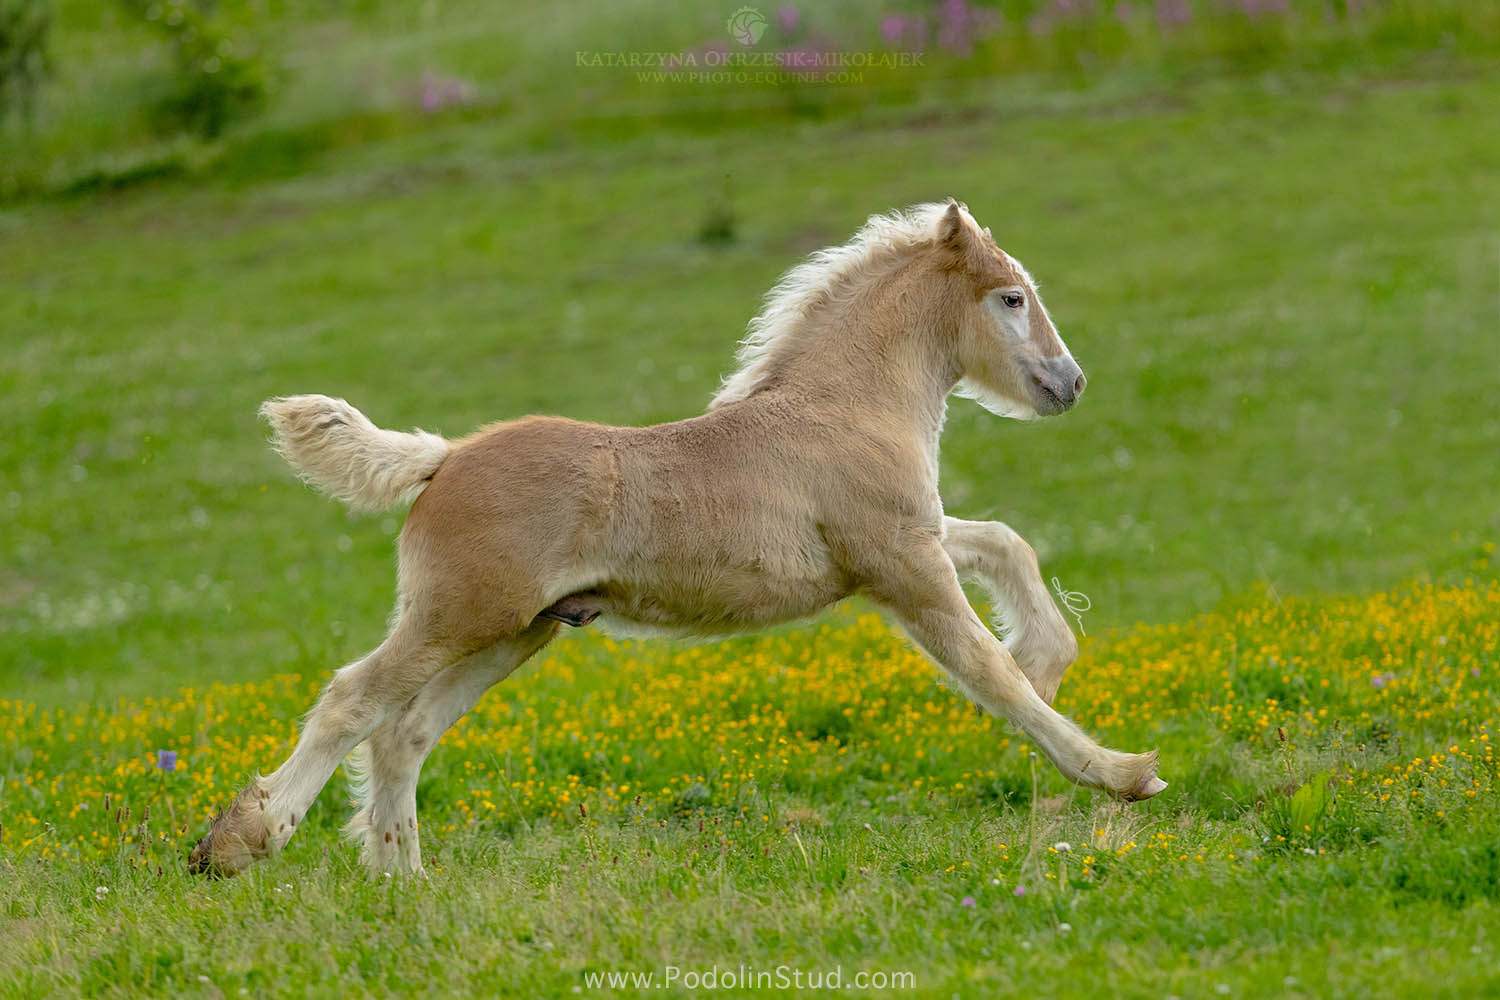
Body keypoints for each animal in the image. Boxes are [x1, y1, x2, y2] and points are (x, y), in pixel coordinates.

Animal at [187, 200, 1164, 875]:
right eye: (1012, 297)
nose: (1069, 383)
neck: (843, 405)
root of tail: (444, 457)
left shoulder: (905, 540)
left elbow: (1005, 543)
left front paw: (1051, 653)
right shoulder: (900, 565)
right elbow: (989, 676)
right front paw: (1122, 773)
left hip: (518, 630)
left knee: (405, 733)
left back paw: (404, 883)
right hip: (461, 614)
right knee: (353, 699)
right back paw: (239, 841)